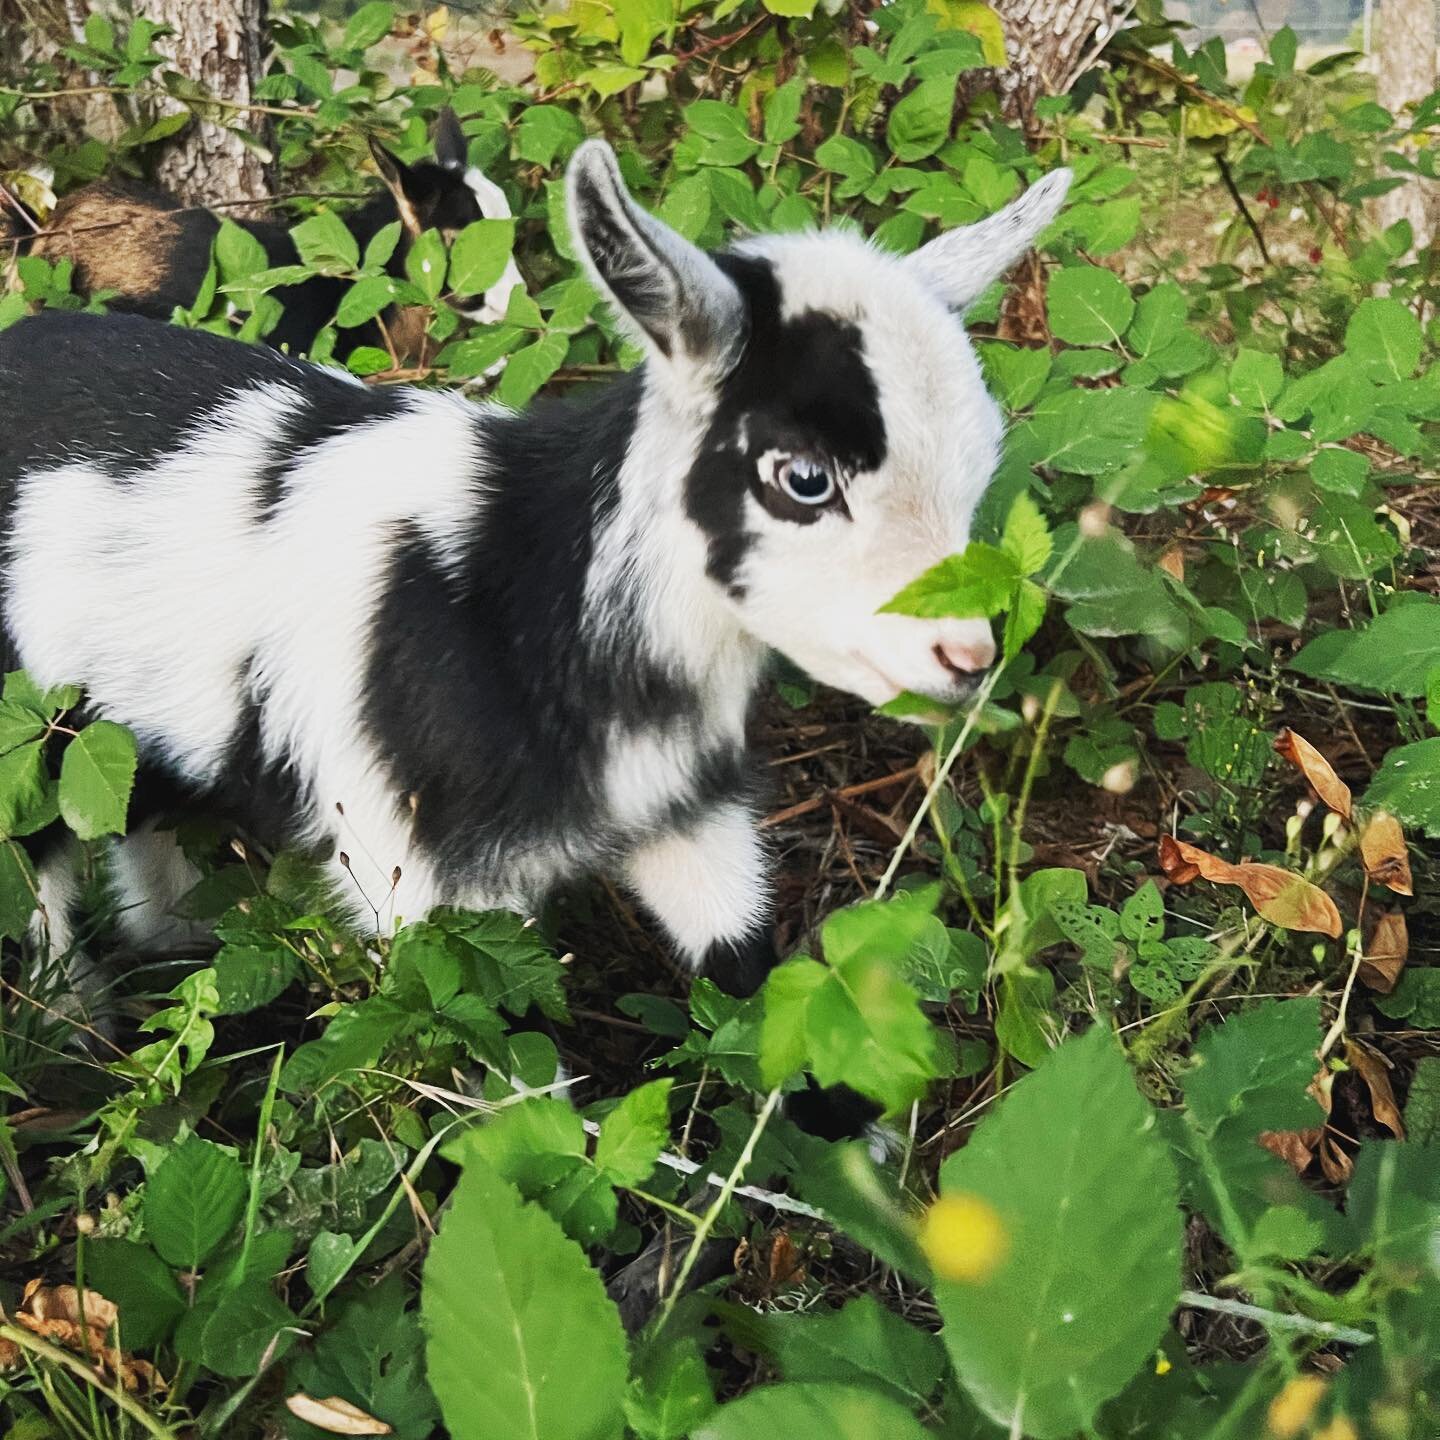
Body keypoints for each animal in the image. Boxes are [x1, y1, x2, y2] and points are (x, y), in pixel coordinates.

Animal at [0, 143, 1071, 1002]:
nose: (968, 657)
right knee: (39, 863)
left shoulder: (690, 824)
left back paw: (180, 948)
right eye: (803, 477)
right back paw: (77, 1012)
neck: (522, 593)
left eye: (984, 461)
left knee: (141, 808)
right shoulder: (414, 879)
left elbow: (750, 979)